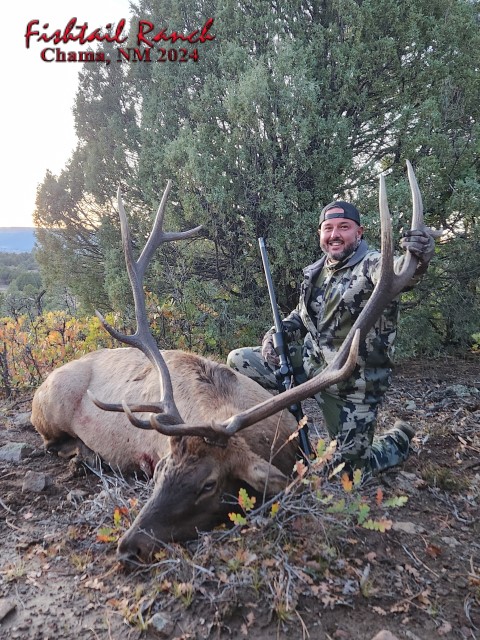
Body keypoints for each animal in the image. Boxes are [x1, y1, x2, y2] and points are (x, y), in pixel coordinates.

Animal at [31, 162, 426, 565]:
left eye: (209, 484)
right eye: (160, 471)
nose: (128, 546)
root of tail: (43, 383)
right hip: (49, 411)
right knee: (49, 444)